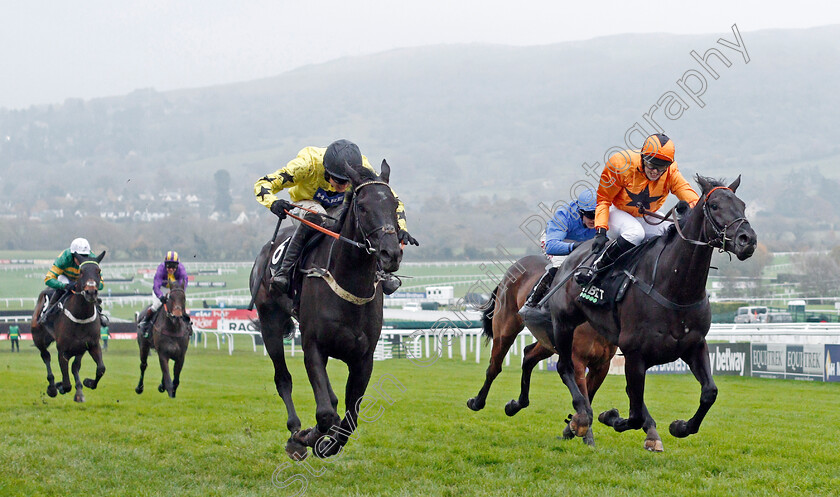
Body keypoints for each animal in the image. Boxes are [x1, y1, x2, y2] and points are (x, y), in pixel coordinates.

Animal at [29, 252, 107, 404]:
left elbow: (101, 368)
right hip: (39, 339)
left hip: (80, 349)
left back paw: (79, 391)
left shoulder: (92, 345)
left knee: (75, 366)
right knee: (46, 356)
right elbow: (66, 384)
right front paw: (59, 386)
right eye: (81, 272)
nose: (91, 292)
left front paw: (88, 383)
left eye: (98, 271)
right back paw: (52, 387)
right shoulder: (62, 350)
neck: (80, 316)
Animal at [249, 161, 404, 460]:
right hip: (270, 321)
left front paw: (329, 443)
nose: (390, 254)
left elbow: (349, 417)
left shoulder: (364, 359)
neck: (348, 284)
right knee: (283, 378)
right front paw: (308, 436)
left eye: (394, 204)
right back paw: (295, 432)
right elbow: (324, 414)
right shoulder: (313, 347)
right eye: (363, 207)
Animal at [466, 256, 624, 446]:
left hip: (546, 342)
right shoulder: (577, 361)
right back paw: (477, 402)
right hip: (505, 329)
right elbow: (585, 400)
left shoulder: (601, 365)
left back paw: (515, 405)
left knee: (528, 356)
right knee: (494, 367)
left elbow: (589, 398)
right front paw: (586, 436)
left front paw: (573, 428)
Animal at [532, 175, 760, 450]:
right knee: (565, 366)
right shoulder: (634, 354)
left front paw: (680, 426)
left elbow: (709, 393)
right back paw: (580, 417)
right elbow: (634, 413)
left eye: (742, 205)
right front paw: (611, 416)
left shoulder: (694, 345)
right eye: (714, 205)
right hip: (564, 322)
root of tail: (572, 256)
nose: (748, 239)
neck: (675, 288)